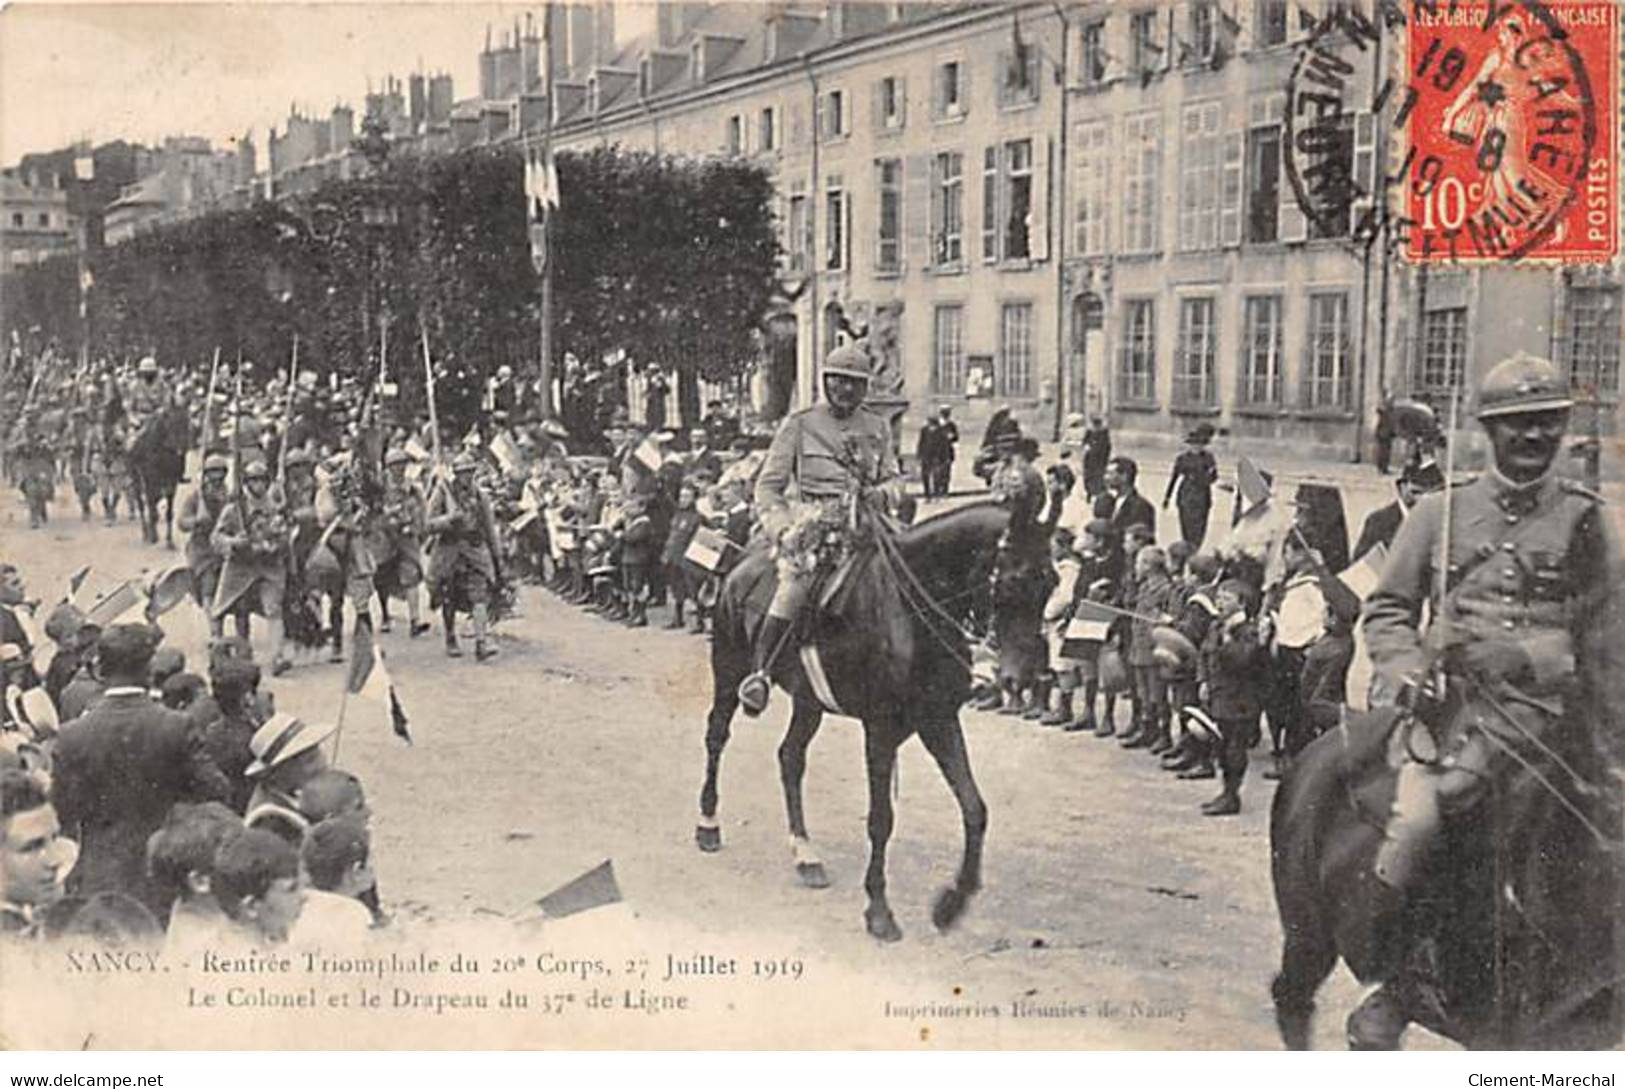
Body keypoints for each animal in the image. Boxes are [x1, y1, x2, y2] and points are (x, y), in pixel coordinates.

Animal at [126, 403, 191, 549]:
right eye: (171, 422)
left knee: (153, 502)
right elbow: (152, 509)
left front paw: (169, 541)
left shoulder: (172, 484)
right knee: (142, 505)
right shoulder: (150, 482)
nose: (181, 447)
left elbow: (168, 513)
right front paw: (153, 536)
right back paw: (146, 533)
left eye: (187, 422)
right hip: (137, 481)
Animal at [698, 500, 1053, 942]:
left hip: (809, 702)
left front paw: (951, 904)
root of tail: (742, 563)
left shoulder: (939, 720)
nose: (1019, 678)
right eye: (1013, 581)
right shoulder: (879, 731)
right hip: (729, 671)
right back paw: (708, 825)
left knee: (790, 758)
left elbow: (975, 809)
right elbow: (881, 820)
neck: (909, 609)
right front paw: (879, 910)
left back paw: (806, 855)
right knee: (717, 736)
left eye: (1051, 583)